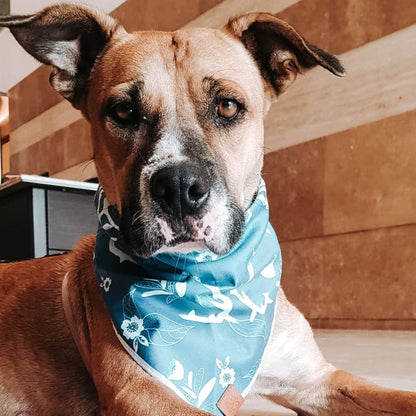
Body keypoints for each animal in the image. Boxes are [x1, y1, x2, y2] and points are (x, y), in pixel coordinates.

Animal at [0, 4, 416, 416]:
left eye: (228, 106)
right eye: (123, 112)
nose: (179, 189)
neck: (203, 277)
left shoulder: (314, 381)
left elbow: (398, 396)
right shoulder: (142, 394)